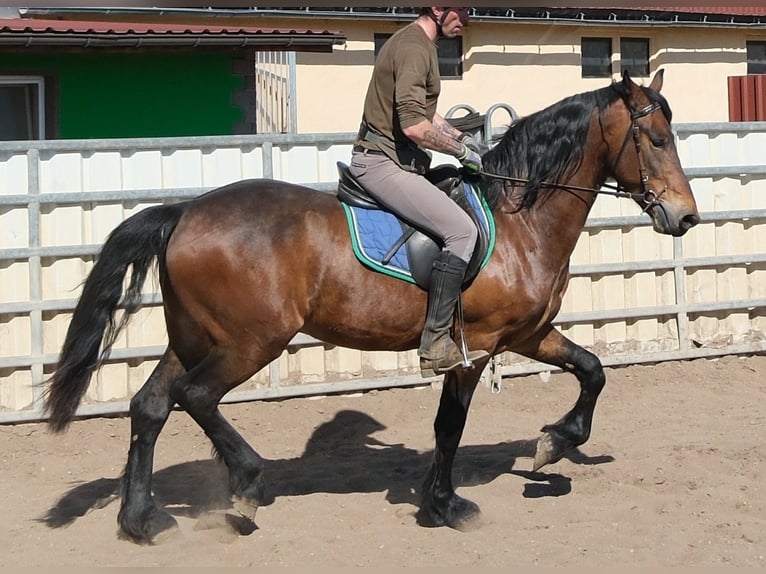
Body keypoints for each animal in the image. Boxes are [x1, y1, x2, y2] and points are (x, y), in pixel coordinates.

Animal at [43, 69, 699, 543]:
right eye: (656, 139)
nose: (686, 217)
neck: (520, 219)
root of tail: (183, 212)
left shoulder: (527, 335)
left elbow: (593, 370)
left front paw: (555, 442)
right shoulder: (477, 345)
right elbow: (450, 424)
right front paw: (446, 505)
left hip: (196, 337)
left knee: (151, 405)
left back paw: (142, 520)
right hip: (251, 340)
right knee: (195, 397)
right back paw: (247, 485)